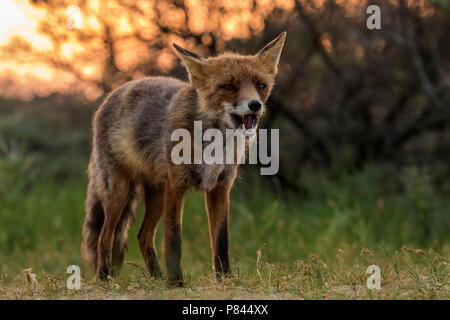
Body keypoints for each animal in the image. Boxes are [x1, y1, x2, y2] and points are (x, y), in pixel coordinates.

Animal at [81, 30, 284, 284]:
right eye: (228, 86)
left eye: (260, 85)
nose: (255, 105)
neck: (213, 143)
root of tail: (110, 96)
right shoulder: (177, 185)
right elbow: (173, 237)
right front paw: (176, 282)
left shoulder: (220, 187)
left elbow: (221, 241)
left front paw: (224, 279)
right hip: (120, 192)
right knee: (104, 236)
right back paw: (104, 277)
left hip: (157, 196)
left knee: (143, 236)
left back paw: (156, 278)